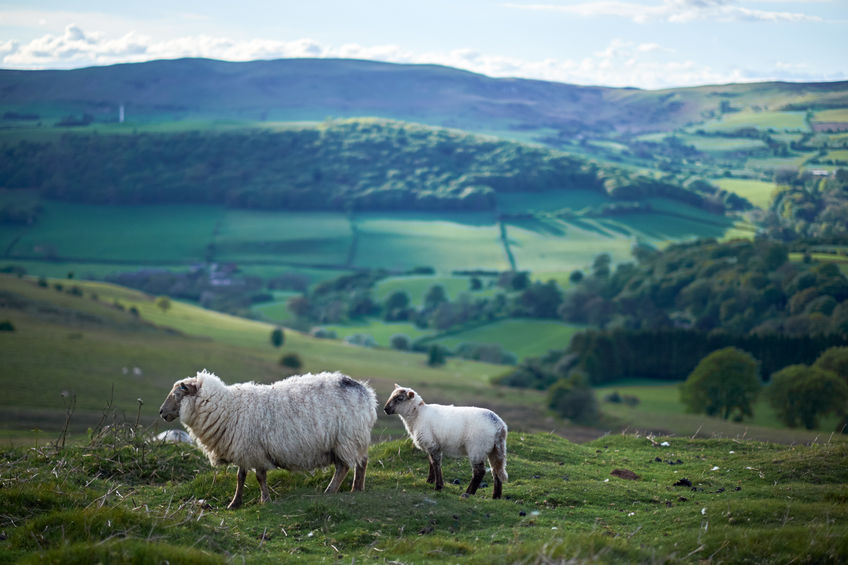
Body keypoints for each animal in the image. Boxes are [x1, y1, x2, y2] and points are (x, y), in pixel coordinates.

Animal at [160, 370, 378, 506]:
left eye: (177, 394)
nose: (162, 412)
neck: (228, 408)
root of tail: (367, 393)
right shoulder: (244, 450)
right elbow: (240, 477)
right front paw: (234, 503)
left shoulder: (254, 451)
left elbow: (259, 477)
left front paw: (264, 500)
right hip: (356, 439)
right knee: (362, 462)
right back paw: (357, 488)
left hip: (346, 439)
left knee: (344, 467)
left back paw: (330, 491)